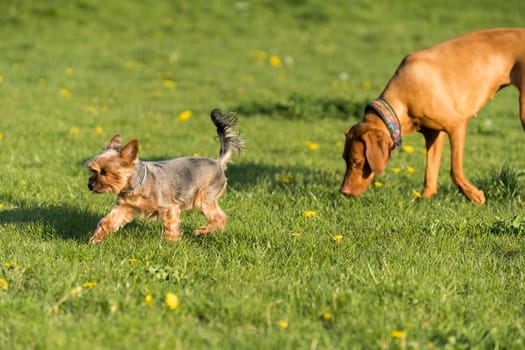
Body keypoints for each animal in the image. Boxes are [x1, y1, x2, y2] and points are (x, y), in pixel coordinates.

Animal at [340, 28, 524, 204]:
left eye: (357, 162)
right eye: (345, 159)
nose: (343, 192)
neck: (401, 99)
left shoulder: (457, 125)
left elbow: (454, 170)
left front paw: (473, 195)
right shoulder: (434, 134)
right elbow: (430, 172)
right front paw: (424, 199)